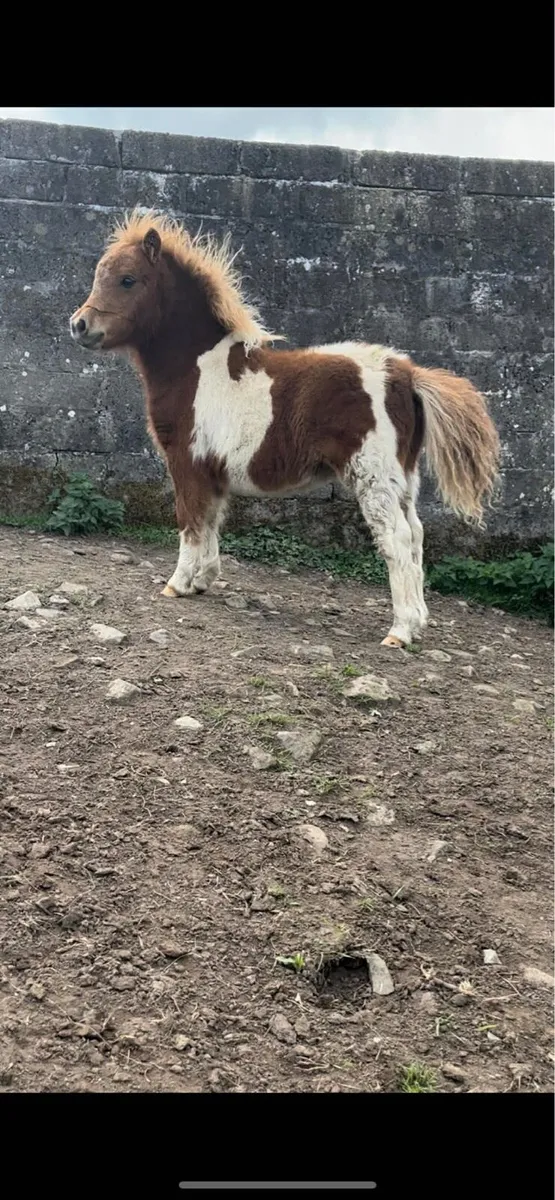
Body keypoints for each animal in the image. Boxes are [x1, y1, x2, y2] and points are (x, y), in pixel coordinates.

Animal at [70, 209, 500, 648]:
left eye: (128, 279)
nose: (80, 325)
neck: (197, 367)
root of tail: (406, 375)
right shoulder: (213, 472)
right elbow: (211, 523)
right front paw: (204, 580)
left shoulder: (186, 462)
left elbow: (189, 521)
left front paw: (177, 584)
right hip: (403, 480)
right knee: (415, 536)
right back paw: (419, 621)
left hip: (374, 477)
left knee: (396, 538)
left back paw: (400, 631)